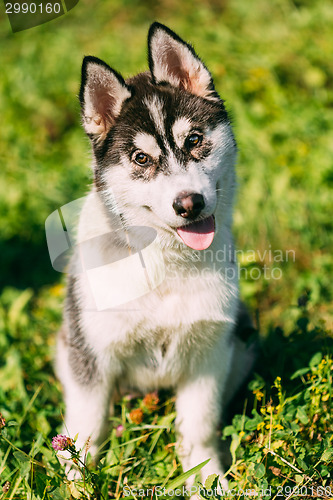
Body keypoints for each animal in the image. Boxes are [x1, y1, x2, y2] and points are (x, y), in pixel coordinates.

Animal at [56, 22, 254, 488]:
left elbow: (198, 427)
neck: (166, 265)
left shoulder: (209, 354)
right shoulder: (91, 355)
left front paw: (206, 481)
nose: (189, 204)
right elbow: (86, 429)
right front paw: (77, 484)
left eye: (195, 140)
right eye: (141, 158)